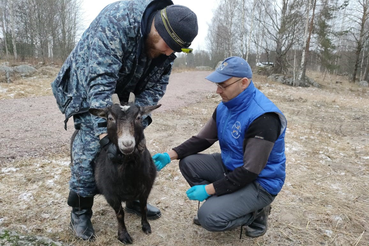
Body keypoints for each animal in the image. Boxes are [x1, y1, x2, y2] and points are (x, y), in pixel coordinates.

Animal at [89, 95, 160, 243]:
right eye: (110, 118)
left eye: (138, 117)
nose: (127, 144)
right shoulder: (111, 194)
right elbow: (120, 213)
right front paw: (124, 235)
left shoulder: (146, 188)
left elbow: (144, 206)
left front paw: (146, 226)